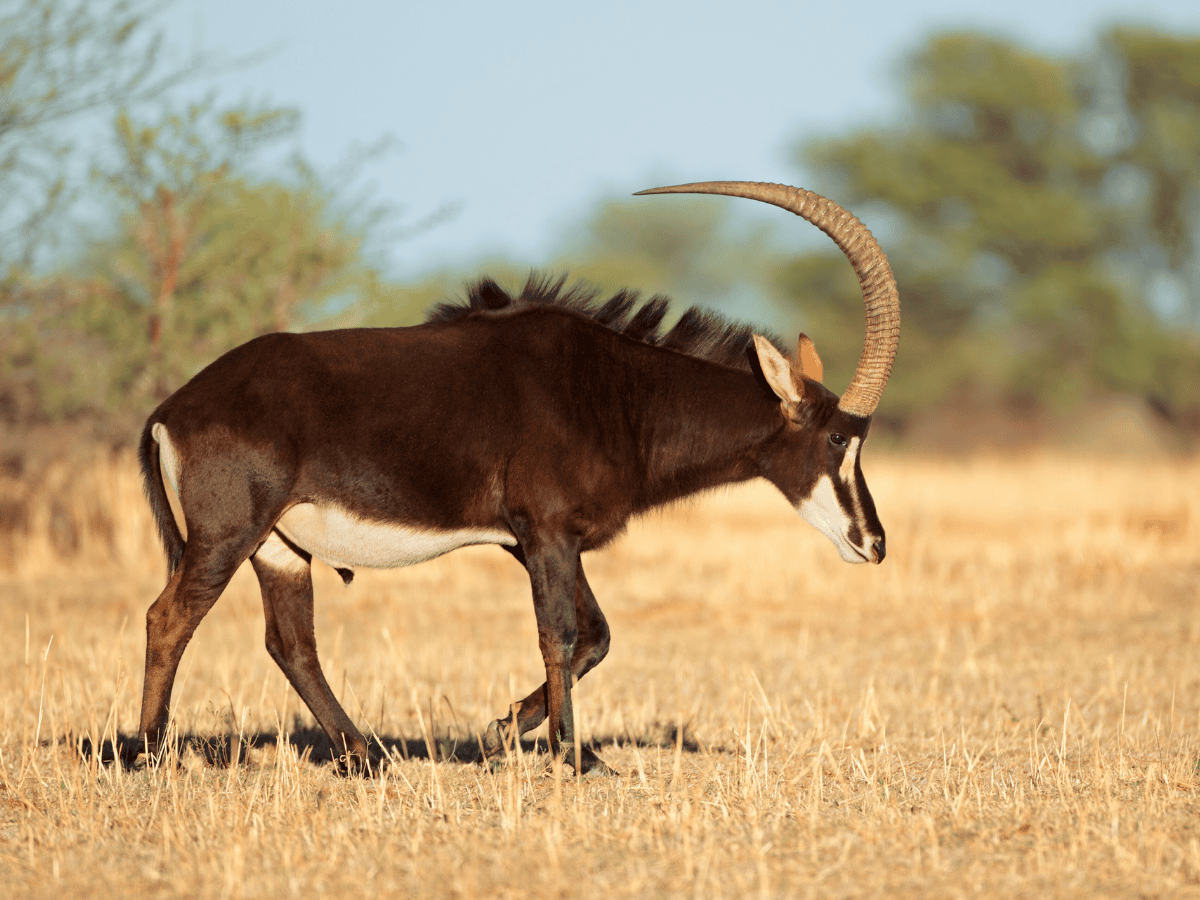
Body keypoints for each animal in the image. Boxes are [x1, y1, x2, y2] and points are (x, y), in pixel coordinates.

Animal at [134, 181, 899, 775]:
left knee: (292, 644)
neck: (621, 394)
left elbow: (594, 635)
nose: (873, 543)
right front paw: (571, 756)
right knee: (169, 616)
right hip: (228, 533)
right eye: (839, 437)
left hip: (280, 548)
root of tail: (172, 408)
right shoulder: (547, 533)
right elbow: (562, 634)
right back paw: (148, 753)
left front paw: (506, 732)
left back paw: (365, 757)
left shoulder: (540, 542)